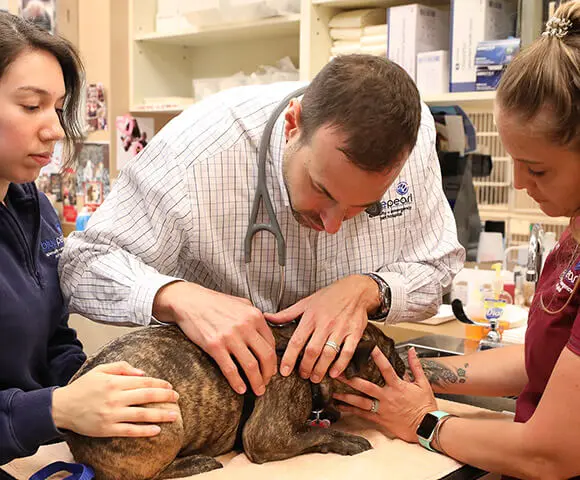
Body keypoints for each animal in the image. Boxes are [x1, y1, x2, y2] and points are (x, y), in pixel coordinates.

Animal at [65, 322, 404, 480]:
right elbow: (316, 433)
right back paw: (197, 462)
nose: (402, 366)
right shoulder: (269, 437)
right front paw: (347, 439)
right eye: (388, 353)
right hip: (164, 416)